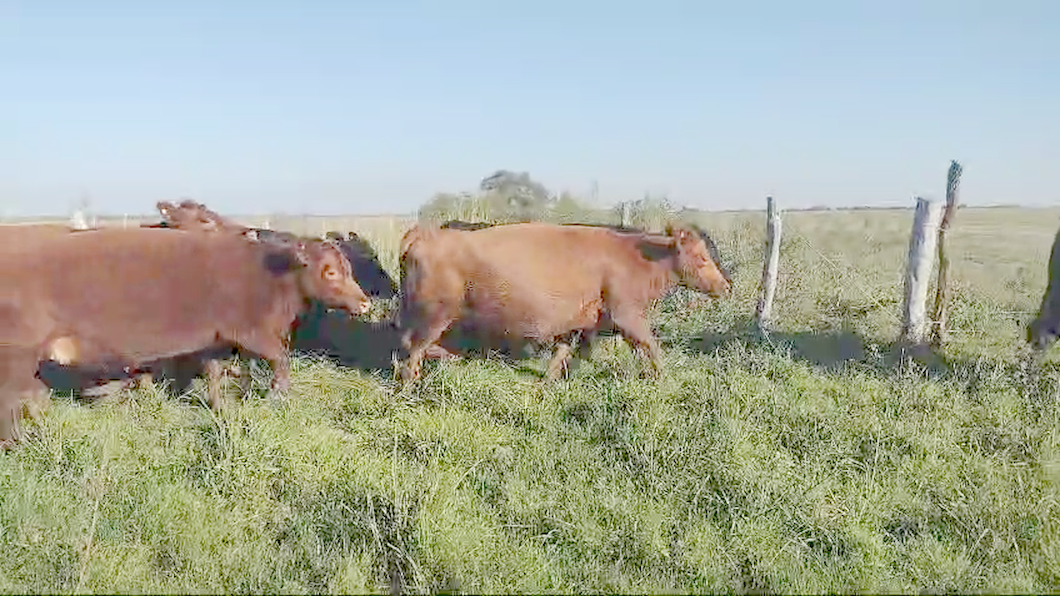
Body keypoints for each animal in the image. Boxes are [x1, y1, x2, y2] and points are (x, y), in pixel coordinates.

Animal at [0, 225, 373, 445]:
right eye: (329, 272)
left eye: (348, 269)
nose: (365, 302)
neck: (271, 278)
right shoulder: (251, 333)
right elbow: (280, 360)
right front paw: (278, 394)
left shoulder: (215, 341)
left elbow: (213, 373)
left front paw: (220, 406)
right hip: (16, 356)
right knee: (12, 403)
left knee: (31, 396)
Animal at [394, 219, 733, 379]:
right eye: (702, 257)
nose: (726, 286)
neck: (638, 259)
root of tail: (426, 233)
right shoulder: (627, 314)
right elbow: (651, 346)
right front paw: (664, 378)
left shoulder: (579, 322)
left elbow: (564, 353)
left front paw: (549, 382)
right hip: (433, 314)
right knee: (412, 350)